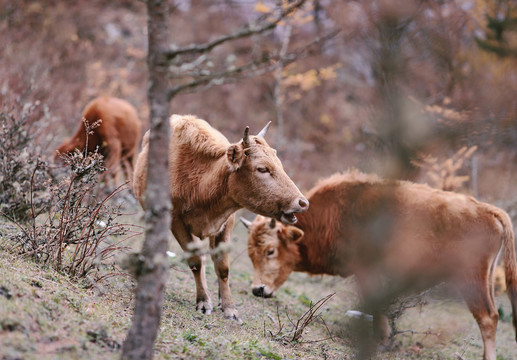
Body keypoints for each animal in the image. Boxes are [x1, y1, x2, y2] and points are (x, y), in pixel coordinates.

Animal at [133, 114, 308, 320]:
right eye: (262, 169)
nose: (302, 202)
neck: (201, 183)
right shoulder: (175, 221)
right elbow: (196, 261)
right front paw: (203, 301)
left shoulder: (227, 222)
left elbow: (223, 267)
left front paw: (229, 307)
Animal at [242, 171, 516, 360]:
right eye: (250, 254)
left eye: (271, 251)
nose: (258, 290)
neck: (336, 213)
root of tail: (488, 210)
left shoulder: (366, 270)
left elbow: (375, 304)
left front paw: (379, 341)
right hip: (486, 280)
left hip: (470, 280)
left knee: (487, 318)